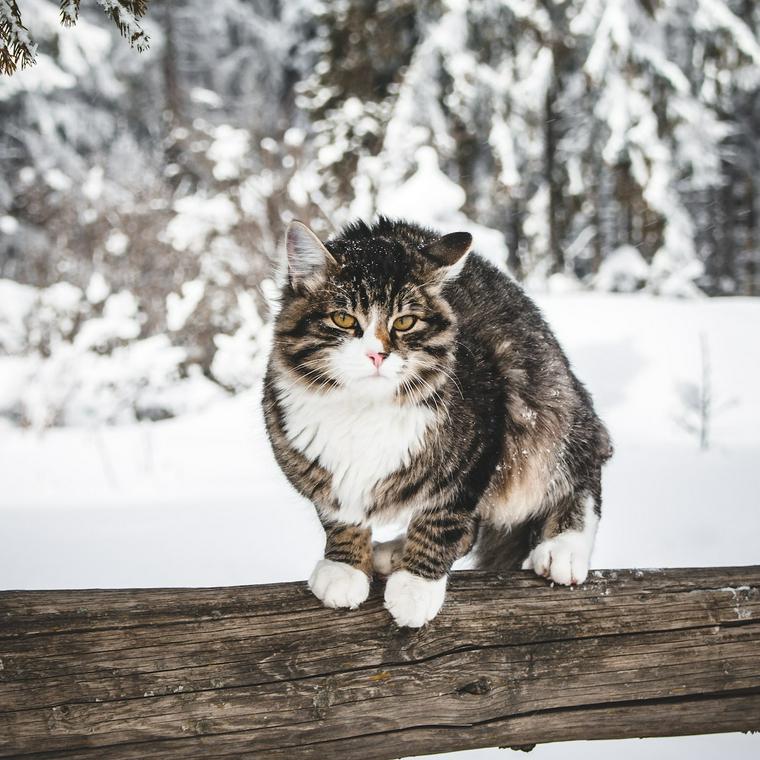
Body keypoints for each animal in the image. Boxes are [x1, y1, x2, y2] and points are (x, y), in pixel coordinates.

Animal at [262, 217, 612, 628]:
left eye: (405, 322)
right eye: (344, 319)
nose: (377, 355)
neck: (364, 408)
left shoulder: (482, 440)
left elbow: (443, 521)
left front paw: (416, 586)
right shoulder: (315, 464)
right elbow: (338, 515)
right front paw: (344, 566)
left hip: (547, 412)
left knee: (580, 471)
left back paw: (563, 547)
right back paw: (393, 550)